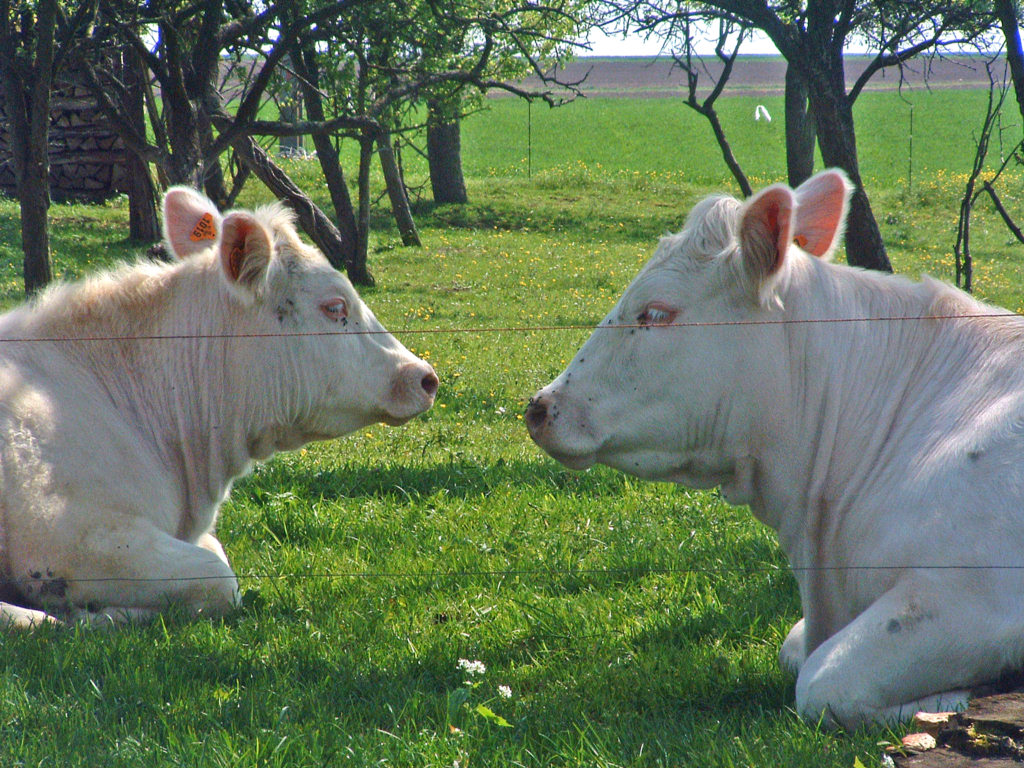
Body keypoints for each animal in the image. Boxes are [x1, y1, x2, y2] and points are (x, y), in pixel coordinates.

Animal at [0, 188, 436, 630]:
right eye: (335, 307)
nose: (423, 377)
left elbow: (217, 555)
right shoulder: (72, 536)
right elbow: (220, 578)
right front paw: (93, 614)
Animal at [528, 167, 1024, 729]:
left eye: (655, 312)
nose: (540, 407)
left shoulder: (971, 593)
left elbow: (822, 682)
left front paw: (962, 696)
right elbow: (795, 651)